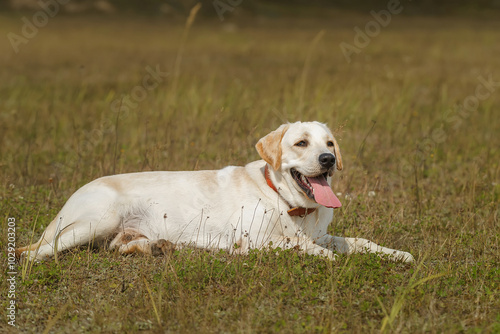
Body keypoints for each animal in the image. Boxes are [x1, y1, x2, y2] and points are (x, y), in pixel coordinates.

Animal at [16, 121, 414, 262]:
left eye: (329, 143)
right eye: (301, 143)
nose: (329, 159)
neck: (287, 203)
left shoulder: (325, 233)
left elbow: (358, 241)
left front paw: (396, 253)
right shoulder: (252, 240)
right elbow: (302, 244)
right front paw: (326, 257)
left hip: (116, 230)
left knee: (118, 245)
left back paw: (157, 246)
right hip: (98, 218)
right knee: (37, 252)